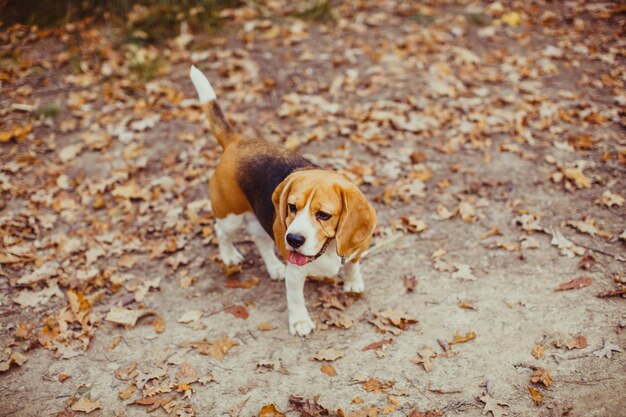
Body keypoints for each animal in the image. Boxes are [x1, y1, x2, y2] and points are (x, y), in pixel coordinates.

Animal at [189, 66, 376, 336]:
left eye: (323, 215)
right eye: (292, 207)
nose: (293, 239)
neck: (327, 248)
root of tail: (237, 141)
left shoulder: (356, 250)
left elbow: (352, 264)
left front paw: (353, 282)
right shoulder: (296, 273)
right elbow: (295, 298)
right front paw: (300, 322)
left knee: (260, 239)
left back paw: (274, 267)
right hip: (231, 215)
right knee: (222, 232)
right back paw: (229, 255)